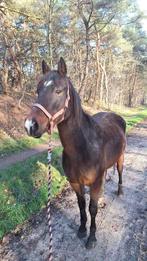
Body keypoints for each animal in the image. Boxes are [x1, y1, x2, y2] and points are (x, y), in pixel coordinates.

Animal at [24, 58, 126, 249]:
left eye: (58, 91)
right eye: (37, 90)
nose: (30, 125)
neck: (83, 147)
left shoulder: (94, 182)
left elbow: (92, 208)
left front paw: (92, 238)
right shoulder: (75, 183)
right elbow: (81, 205)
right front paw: (81, 230)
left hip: (121, 157)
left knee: (120, 172)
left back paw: (120, 192)